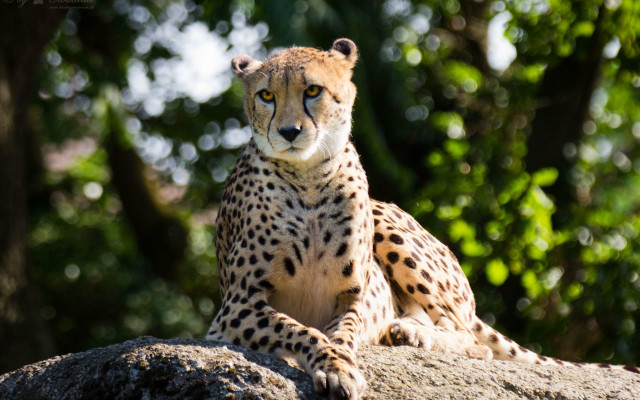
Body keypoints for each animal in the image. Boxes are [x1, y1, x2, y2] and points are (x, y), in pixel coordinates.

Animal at [205, 38, 640, 400]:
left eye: (312, 90)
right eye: (266, 95)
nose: (289, 131)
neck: (309, 177)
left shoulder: (353, 295)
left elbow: (339, 333)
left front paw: (339, 363)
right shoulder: (235, 309)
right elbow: (301, 330)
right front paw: (336, 367)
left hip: (388, 223)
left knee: (469, 337)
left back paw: (409, 331)